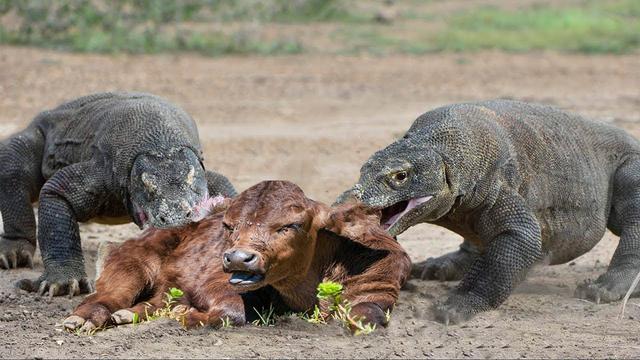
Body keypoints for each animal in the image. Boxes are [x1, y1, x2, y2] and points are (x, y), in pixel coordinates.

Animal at [62, 180, 408, 332]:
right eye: (229, 225)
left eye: (291, 225)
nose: (239, 258)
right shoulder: (216, 283)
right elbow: (231, 311)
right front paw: (189, 316)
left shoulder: (379, 291)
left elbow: (366, 315)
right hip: (131, 264)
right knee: (107, 297)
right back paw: (82, 319)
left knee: (156, 299)